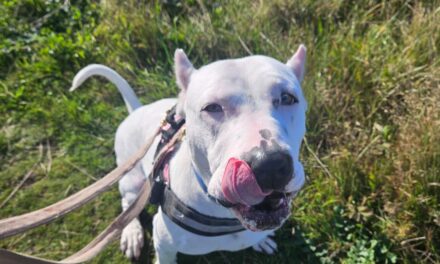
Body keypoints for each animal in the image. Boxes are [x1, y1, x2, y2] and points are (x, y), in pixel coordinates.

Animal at [70, 44, 308, 262]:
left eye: (288, 98)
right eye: (211, 107)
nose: (270, 165)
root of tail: (136, 110)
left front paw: (261, 241)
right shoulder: (164, 242)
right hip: (132, 179)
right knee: (128, 204)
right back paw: (131, 233)